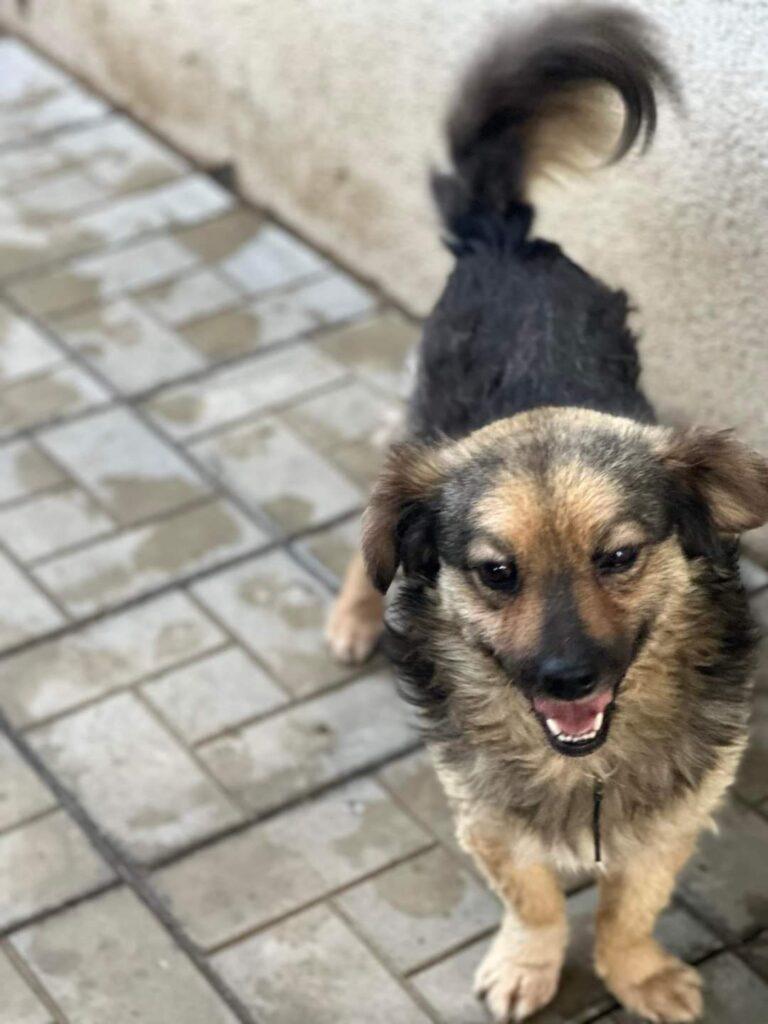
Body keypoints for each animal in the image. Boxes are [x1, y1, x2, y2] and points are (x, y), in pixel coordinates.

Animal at [326, 6, 768, 1022]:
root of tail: (502, 240)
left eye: (620, 558)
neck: (586, 764)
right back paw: (354, 616)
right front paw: (529, 965)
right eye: (496, 573)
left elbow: (629, 906)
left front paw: (636, 973)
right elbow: (530, 897)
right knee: (363, 542)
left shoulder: (678, 813)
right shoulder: (483, 813)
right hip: (411, 431)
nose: (568, 678)